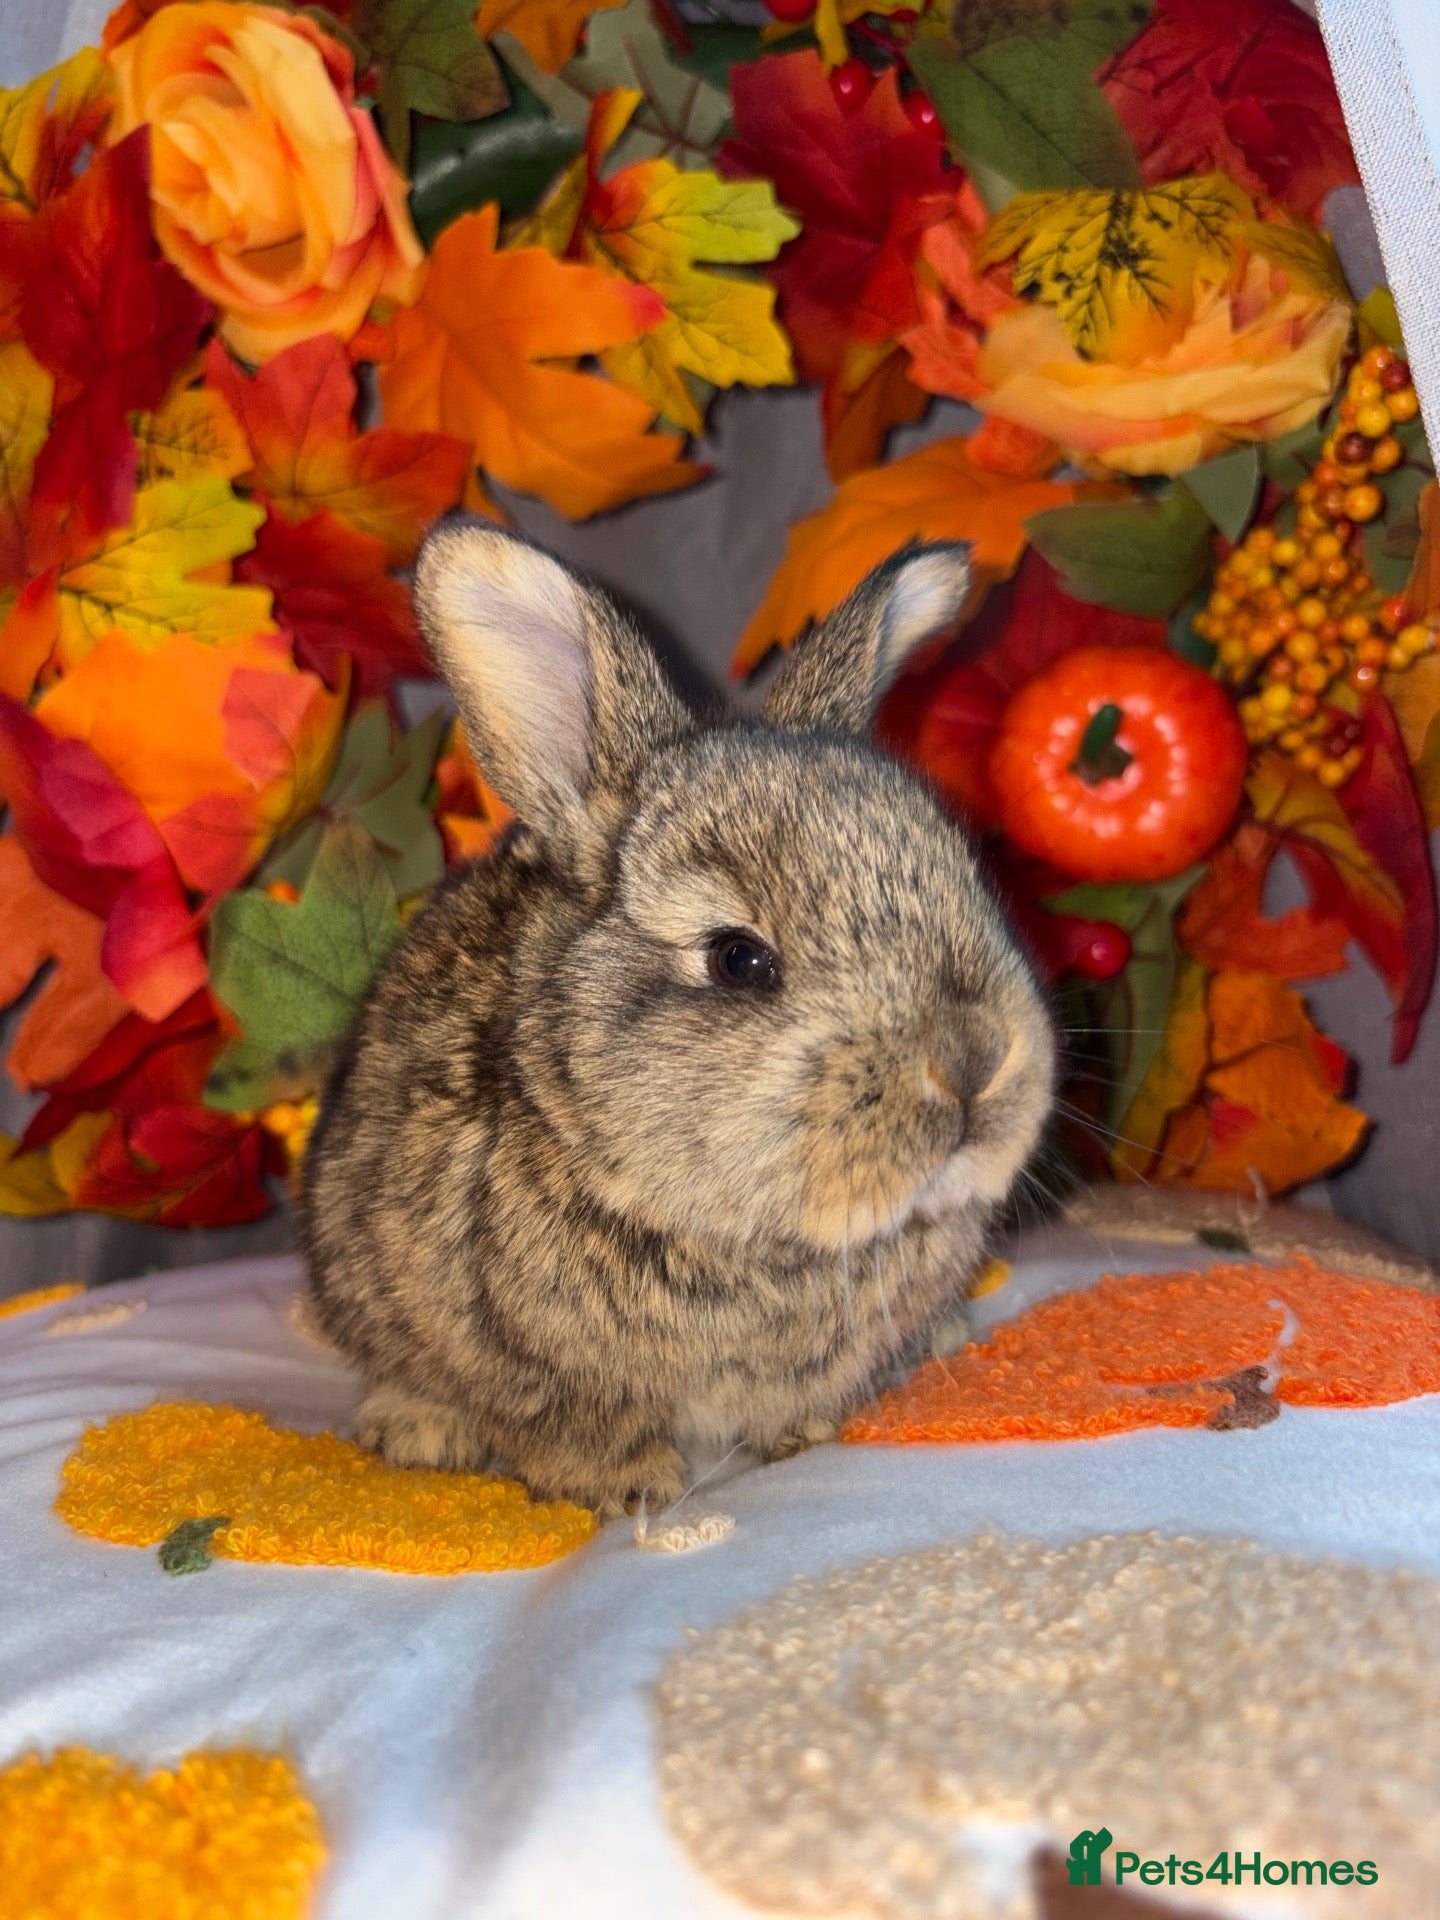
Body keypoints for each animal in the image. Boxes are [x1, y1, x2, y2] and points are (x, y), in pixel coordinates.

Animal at [303, 523, 1055, 1517]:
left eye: (970, 880)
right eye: (737, 958)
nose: (973, 1057)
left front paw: (801, 1437)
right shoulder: (538, 1375)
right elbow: (570, 1433)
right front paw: (635, 1490)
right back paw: (417, 1431)